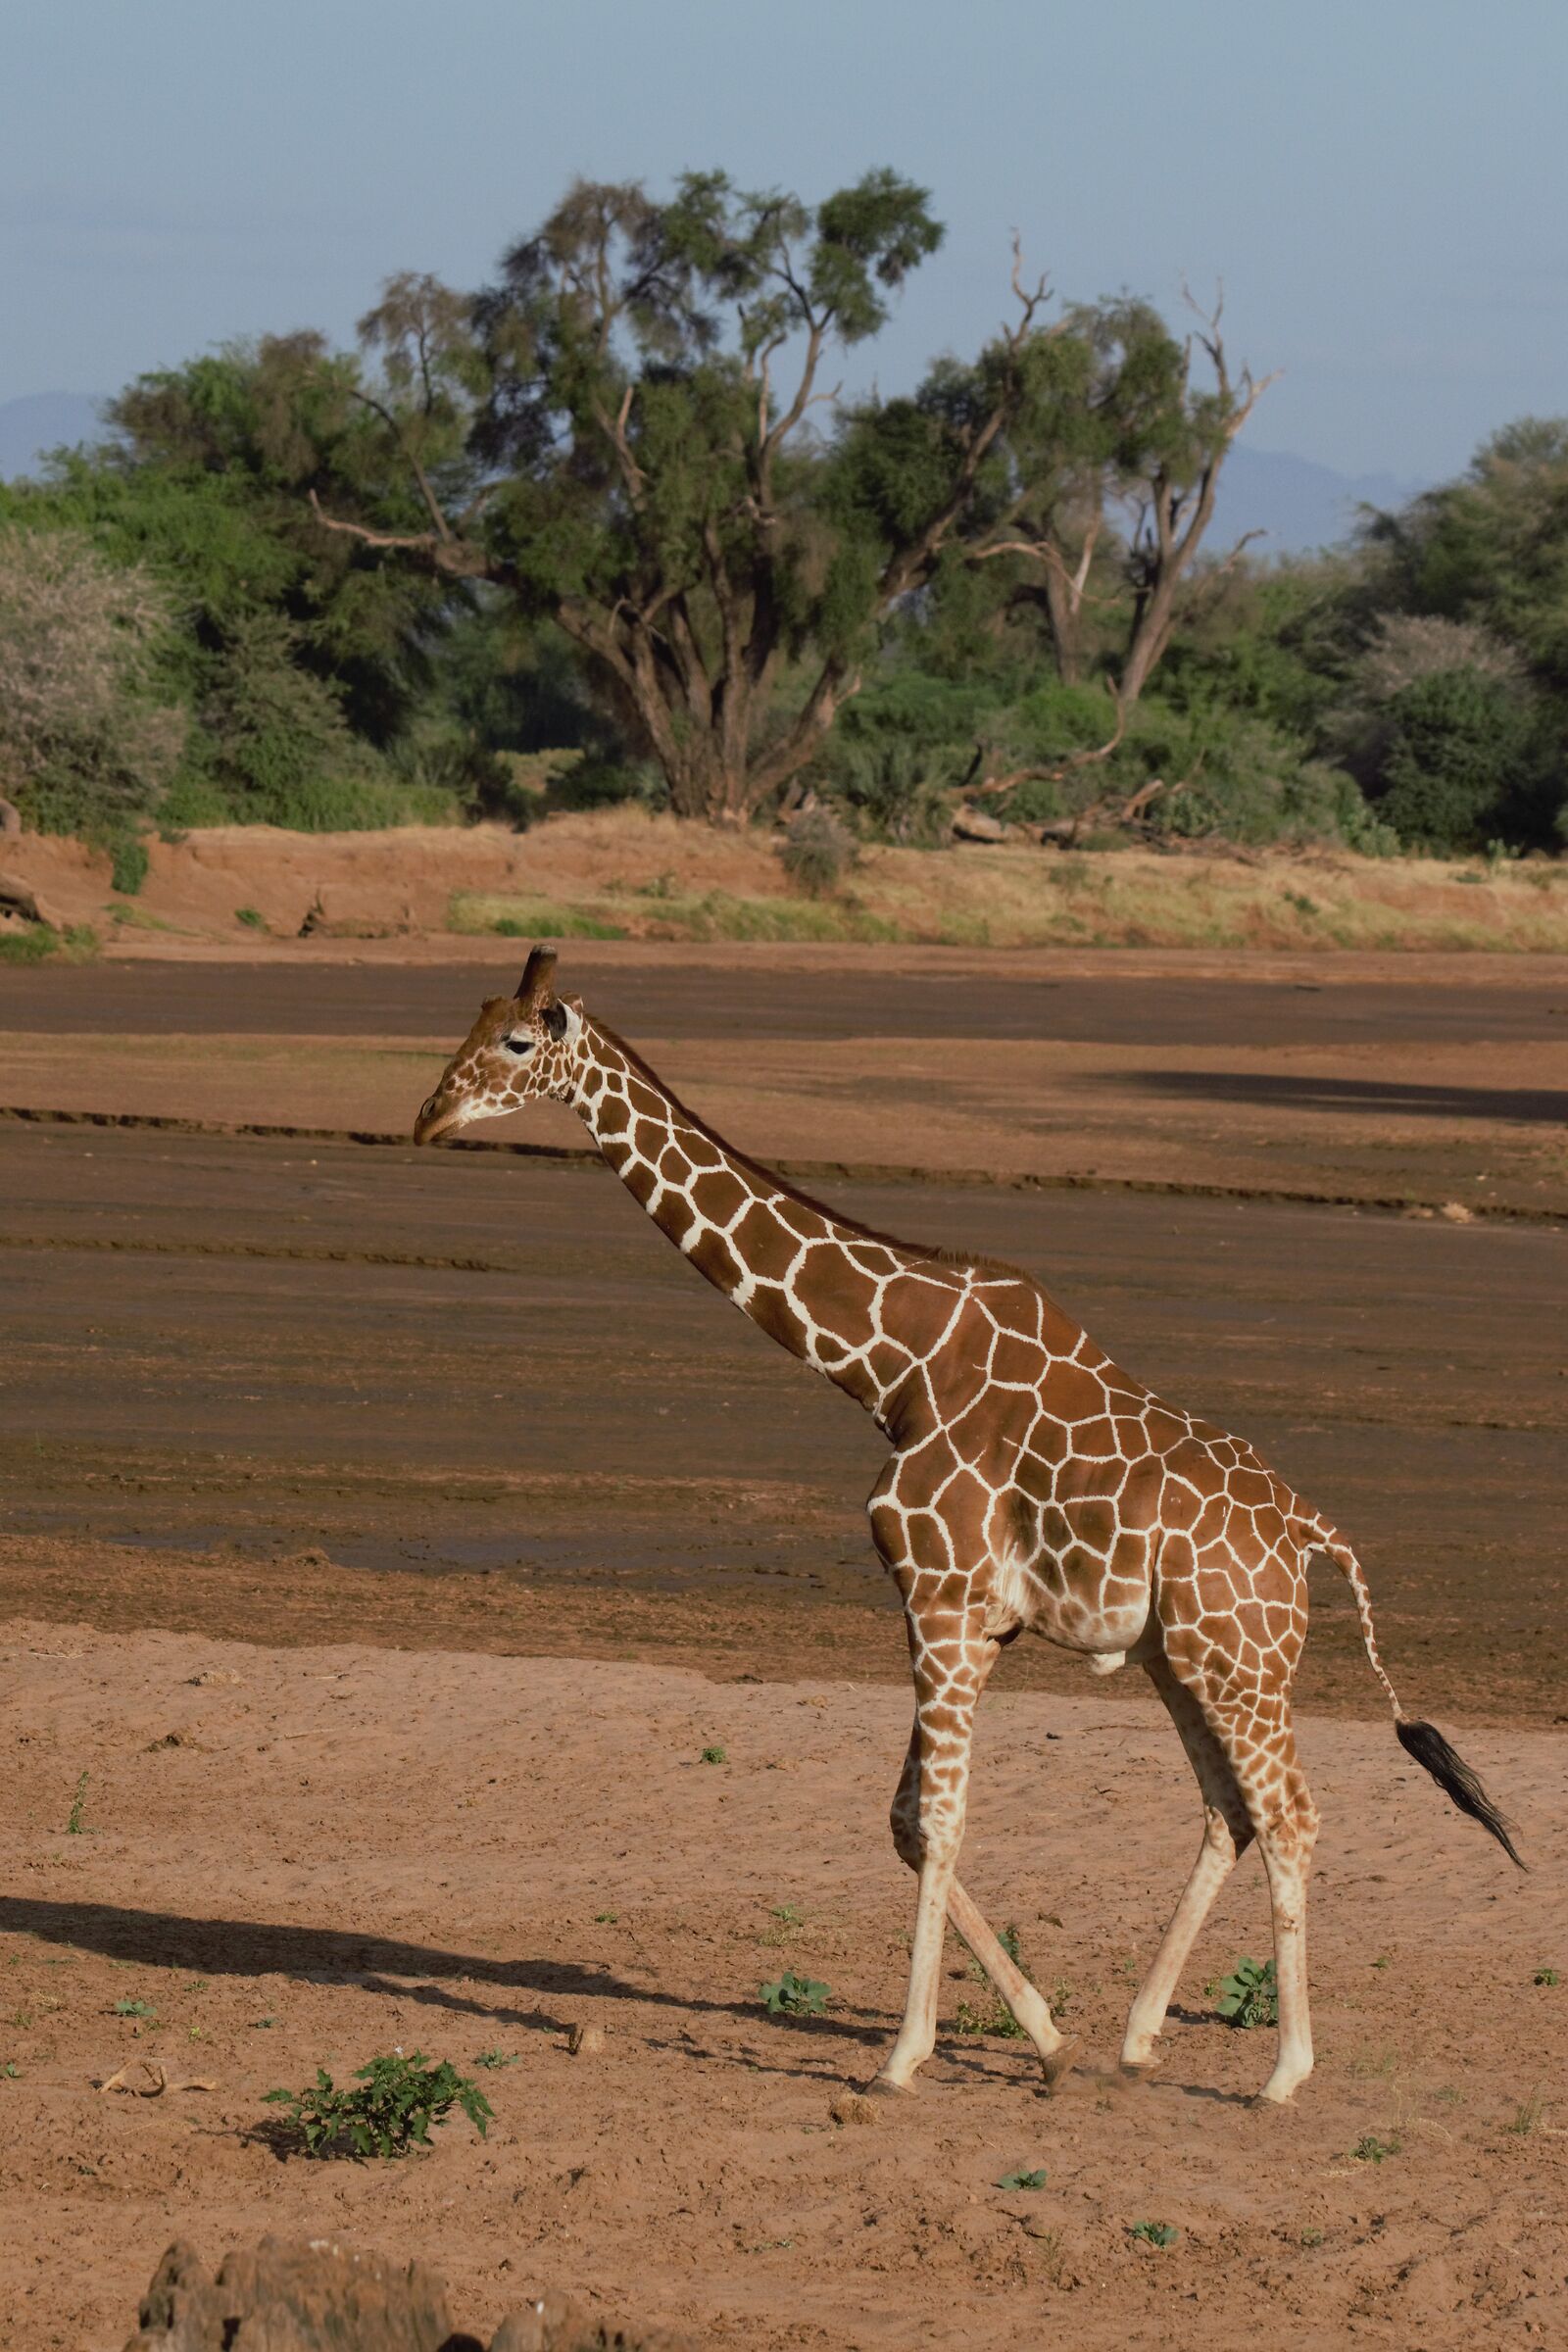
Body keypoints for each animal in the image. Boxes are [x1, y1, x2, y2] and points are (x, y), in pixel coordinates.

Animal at [414, 947, 1524, 2104]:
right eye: (474, 1019)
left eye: (518, 1042)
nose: (428, 1117)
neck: (889, 1365)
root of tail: (1311, 1528)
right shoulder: (973, 1622)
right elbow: (907, 1823)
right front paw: (1045, 2034)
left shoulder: (939, 1600)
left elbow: (937, 1823)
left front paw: (904, 2055)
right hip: (1182, 1660)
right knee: (1229, 1811)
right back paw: (1137, 2034)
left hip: (1242, 1662)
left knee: (1291, 1816)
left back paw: (1283, 2072)